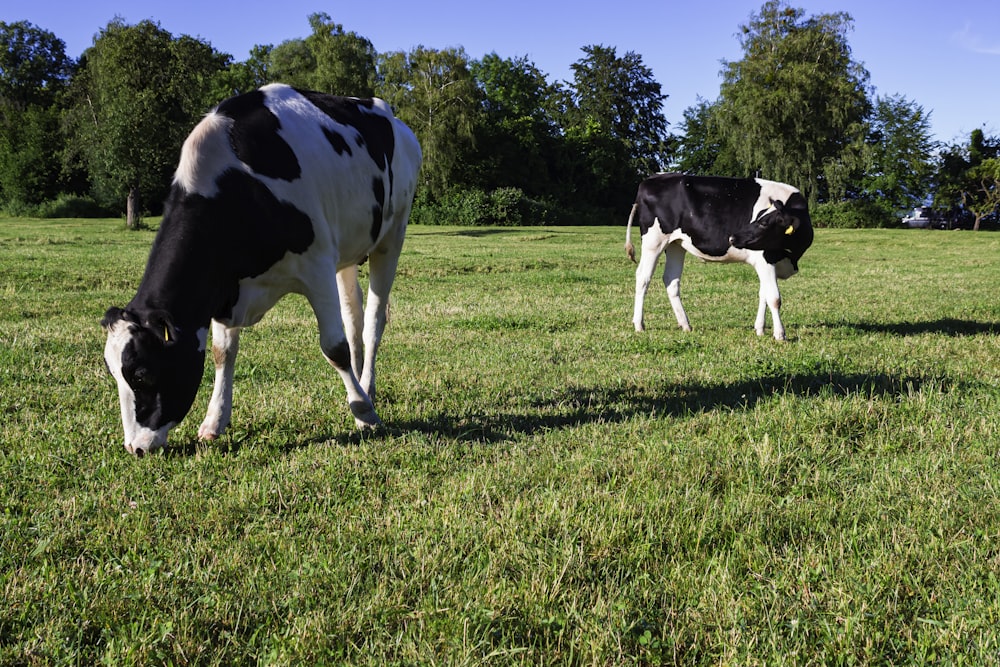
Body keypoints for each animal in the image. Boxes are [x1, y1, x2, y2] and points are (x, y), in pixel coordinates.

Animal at [97, 83, 418, 456]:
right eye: (114, 374)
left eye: (142, 374)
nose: (135, 447)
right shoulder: (225, 286)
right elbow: (222, 353)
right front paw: (214, 422)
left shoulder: (317, 265)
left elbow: (334, 347)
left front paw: (364, 413)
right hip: (348, 251)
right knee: (354, 322)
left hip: (392, 236)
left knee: (372, 324)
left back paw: (367, 389)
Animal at [624, 174, 812, 340]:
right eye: (759, 219)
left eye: (764, 222)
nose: (733, 238)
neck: (791, 257)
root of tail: (651, 179)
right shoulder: (765, 259)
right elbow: (774, 298)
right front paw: (780, 334)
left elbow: (763, 294)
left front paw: (760, 329)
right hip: (653, 241)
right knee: (643, 277)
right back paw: (639, 325)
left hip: (675, 244)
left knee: (671, 280)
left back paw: (685, 325)